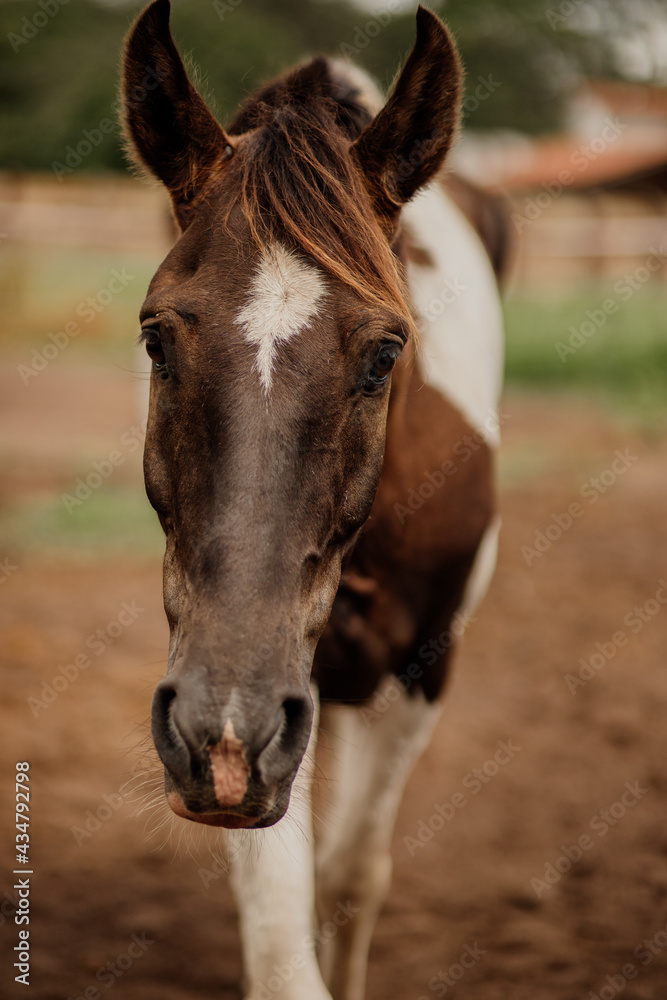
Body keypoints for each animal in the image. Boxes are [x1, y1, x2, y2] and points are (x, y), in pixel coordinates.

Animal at [122, 2, 504, 998]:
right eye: (154, 340)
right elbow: (280, 941)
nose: (223, 734)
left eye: (383, 353)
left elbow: (352, 877)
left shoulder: (421, 670)